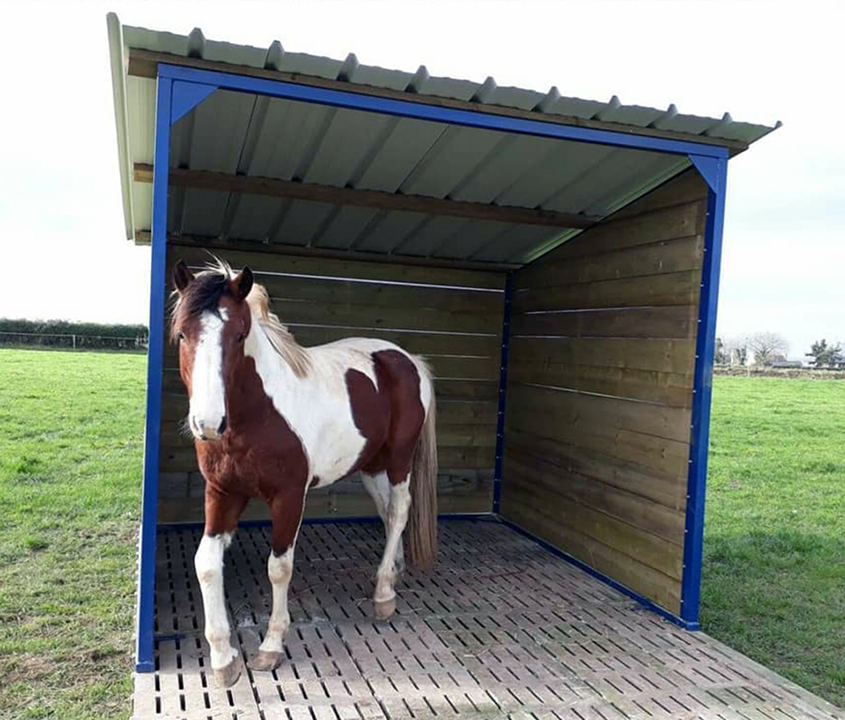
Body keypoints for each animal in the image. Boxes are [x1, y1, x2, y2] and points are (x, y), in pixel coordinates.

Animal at [169, 258, 438, 688]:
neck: (259, 414)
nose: (208, 424)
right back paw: (392, 572)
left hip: (399, 459)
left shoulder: (289, 497)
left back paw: (383, 595)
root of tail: (406, 359)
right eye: (182, 334)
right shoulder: (222, 493)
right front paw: (223, 659)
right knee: (388, 513)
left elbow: (279, 568)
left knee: (398, 511)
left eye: (239, 335)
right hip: (372, 465)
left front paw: (270, 646)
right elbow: (206, 564)